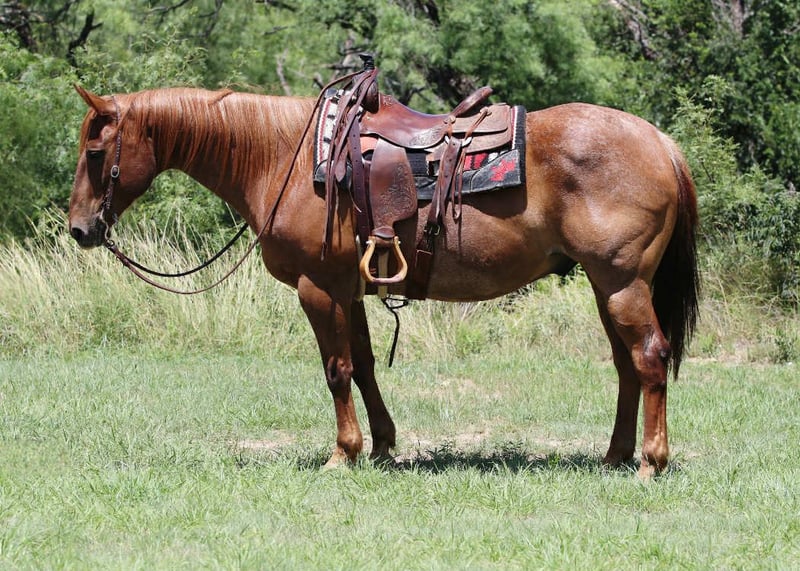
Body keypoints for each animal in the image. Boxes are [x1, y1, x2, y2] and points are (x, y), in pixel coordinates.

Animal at [68, 83, 699, 478]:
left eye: (96, 152)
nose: (79, 228)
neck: (283, 157)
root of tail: (660, 143)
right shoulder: (349, 290)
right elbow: (365, 366)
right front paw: (381, 446)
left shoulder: (318, 287)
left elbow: (336, 370)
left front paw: (342, 454)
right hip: (605, 285)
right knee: (626, 366)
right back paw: (616, 456)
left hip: (621, 282)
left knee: (649, 357)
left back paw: (650, 462)